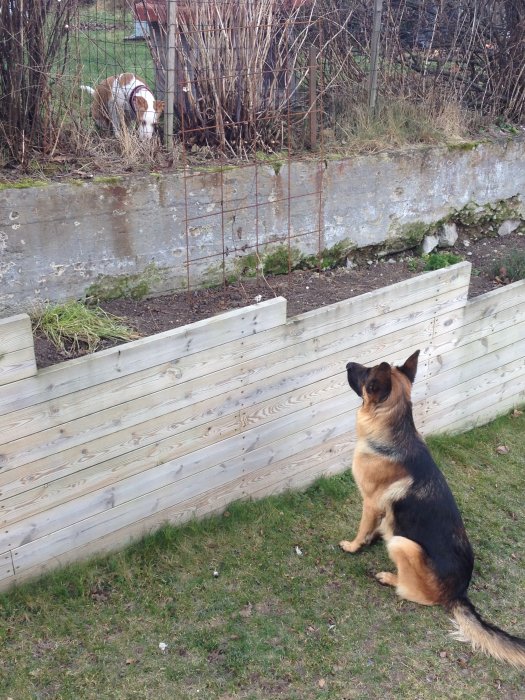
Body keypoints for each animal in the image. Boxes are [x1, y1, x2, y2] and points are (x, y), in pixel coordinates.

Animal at [340, 350, 524, 668]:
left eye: (366, 375)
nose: (349, 364)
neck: (393, 430)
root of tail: (459, 592)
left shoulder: (370, 503)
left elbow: (362, 529)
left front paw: (354, 546)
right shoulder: (381, 510)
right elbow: (376, 526)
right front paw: (373, 536)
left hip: (403, 545)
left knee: (414, 593)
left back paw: (390, 578)